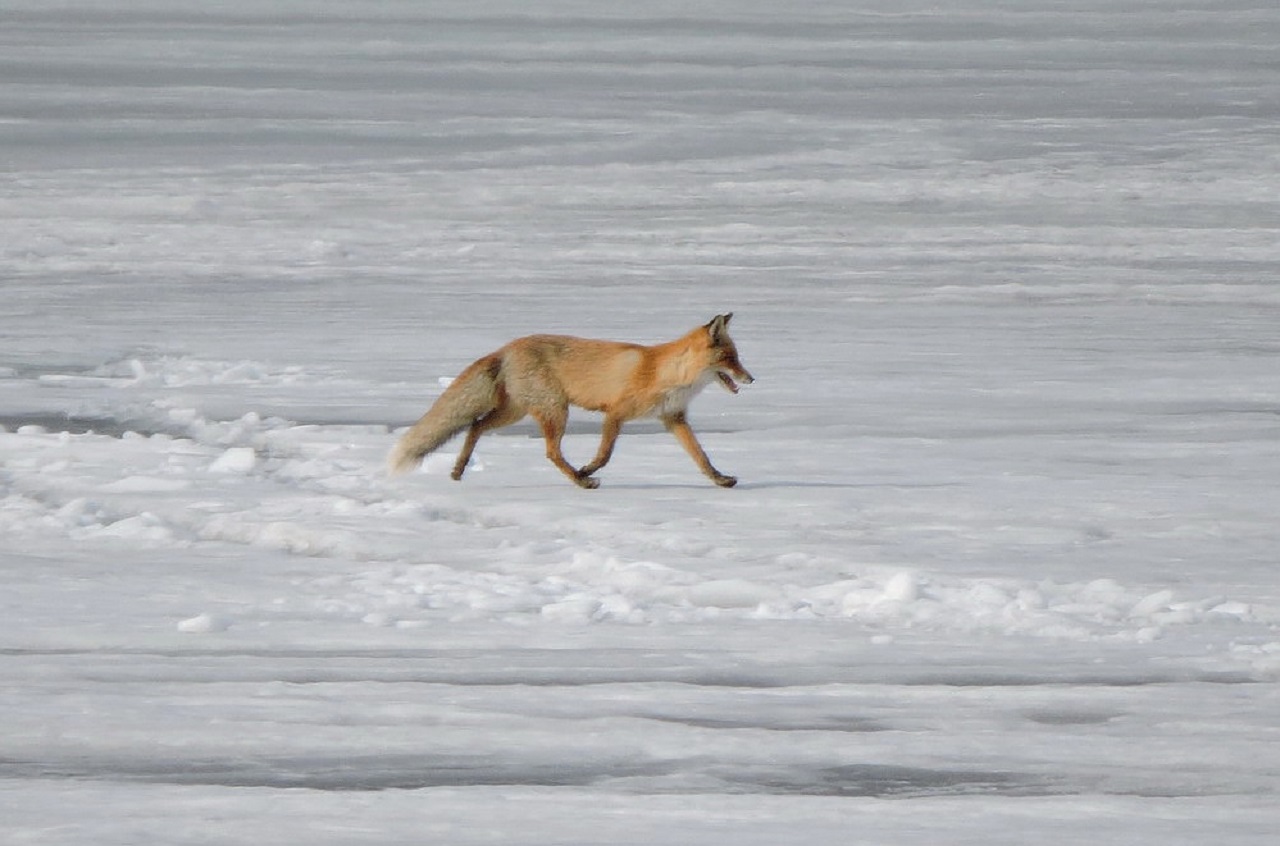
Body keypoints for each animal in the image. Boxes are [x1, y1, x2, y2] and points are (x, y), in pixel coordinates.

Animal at [384, 313, 752, 488]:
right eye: (731, 359)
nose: (751, 379)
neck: (667, 373)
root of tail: (507, 347)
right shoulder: (615, 413)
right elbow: (604, 455)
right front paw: (588, 469)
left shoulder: (673, 418)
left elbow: (702, 458)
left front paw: (721, 480)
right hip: (555, 410)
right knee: (550, 452)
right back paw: (580, 480)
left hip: (516, 411)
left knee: (475, 426)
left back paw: (459, 470)